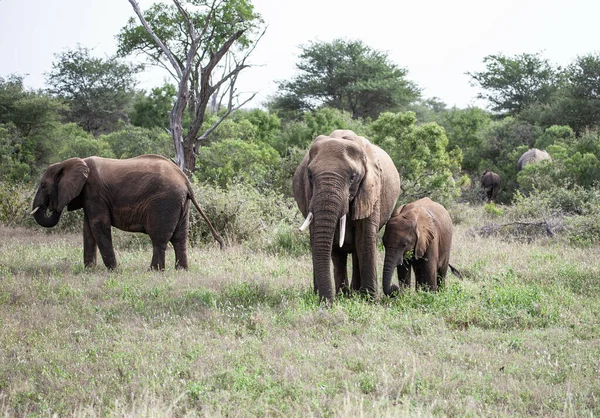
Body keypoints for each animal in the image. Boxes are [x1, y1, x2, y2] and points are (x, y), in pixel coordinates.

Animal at [31, 155, 223, 270]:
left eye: (43, 185)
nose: (53, 206)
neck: (71, 162)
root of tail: (184, 179)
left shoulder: (94, 193)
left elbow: (98, 226)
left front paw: (113, 270)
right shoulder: (89, 196)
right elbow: (88, 230)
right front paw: (89, 269)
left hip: (165, 202)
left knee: (159, 238)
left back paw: (154, 271)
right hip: (181, 204)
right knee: (180, 238)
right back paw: (180, 270)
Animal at [292, 129, 400, 306]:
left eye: (353, 177)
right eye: (310, 176)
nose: (327, 304)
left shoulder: (371, 189)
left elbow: (365, 238)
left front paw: (370, 300)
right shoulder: (310, 196)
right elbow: (324, 241)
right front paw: (327, 297)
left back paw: (354, 293)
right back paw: (344, 294)